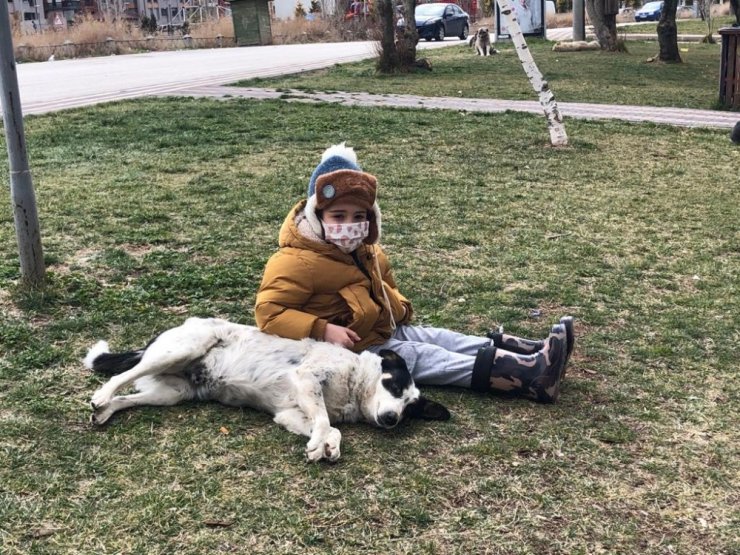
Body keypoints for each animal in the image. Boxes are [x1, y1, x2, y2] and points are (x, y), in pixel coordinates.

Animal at [84, 318, 448, 464]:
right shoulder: (307, 378)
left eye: (409, 410)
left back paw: (105, 410)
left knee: (128, 397)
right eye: (394, 385)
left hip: (173, 393)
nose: (391, 419)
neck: (353, 384)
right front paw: (319, 445)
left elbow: (331, 428)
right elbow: (324, 421)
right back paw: (102, 396)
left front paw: (326, 447)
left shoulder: (289, 413)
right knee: (125, 374)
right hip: (184, 348)